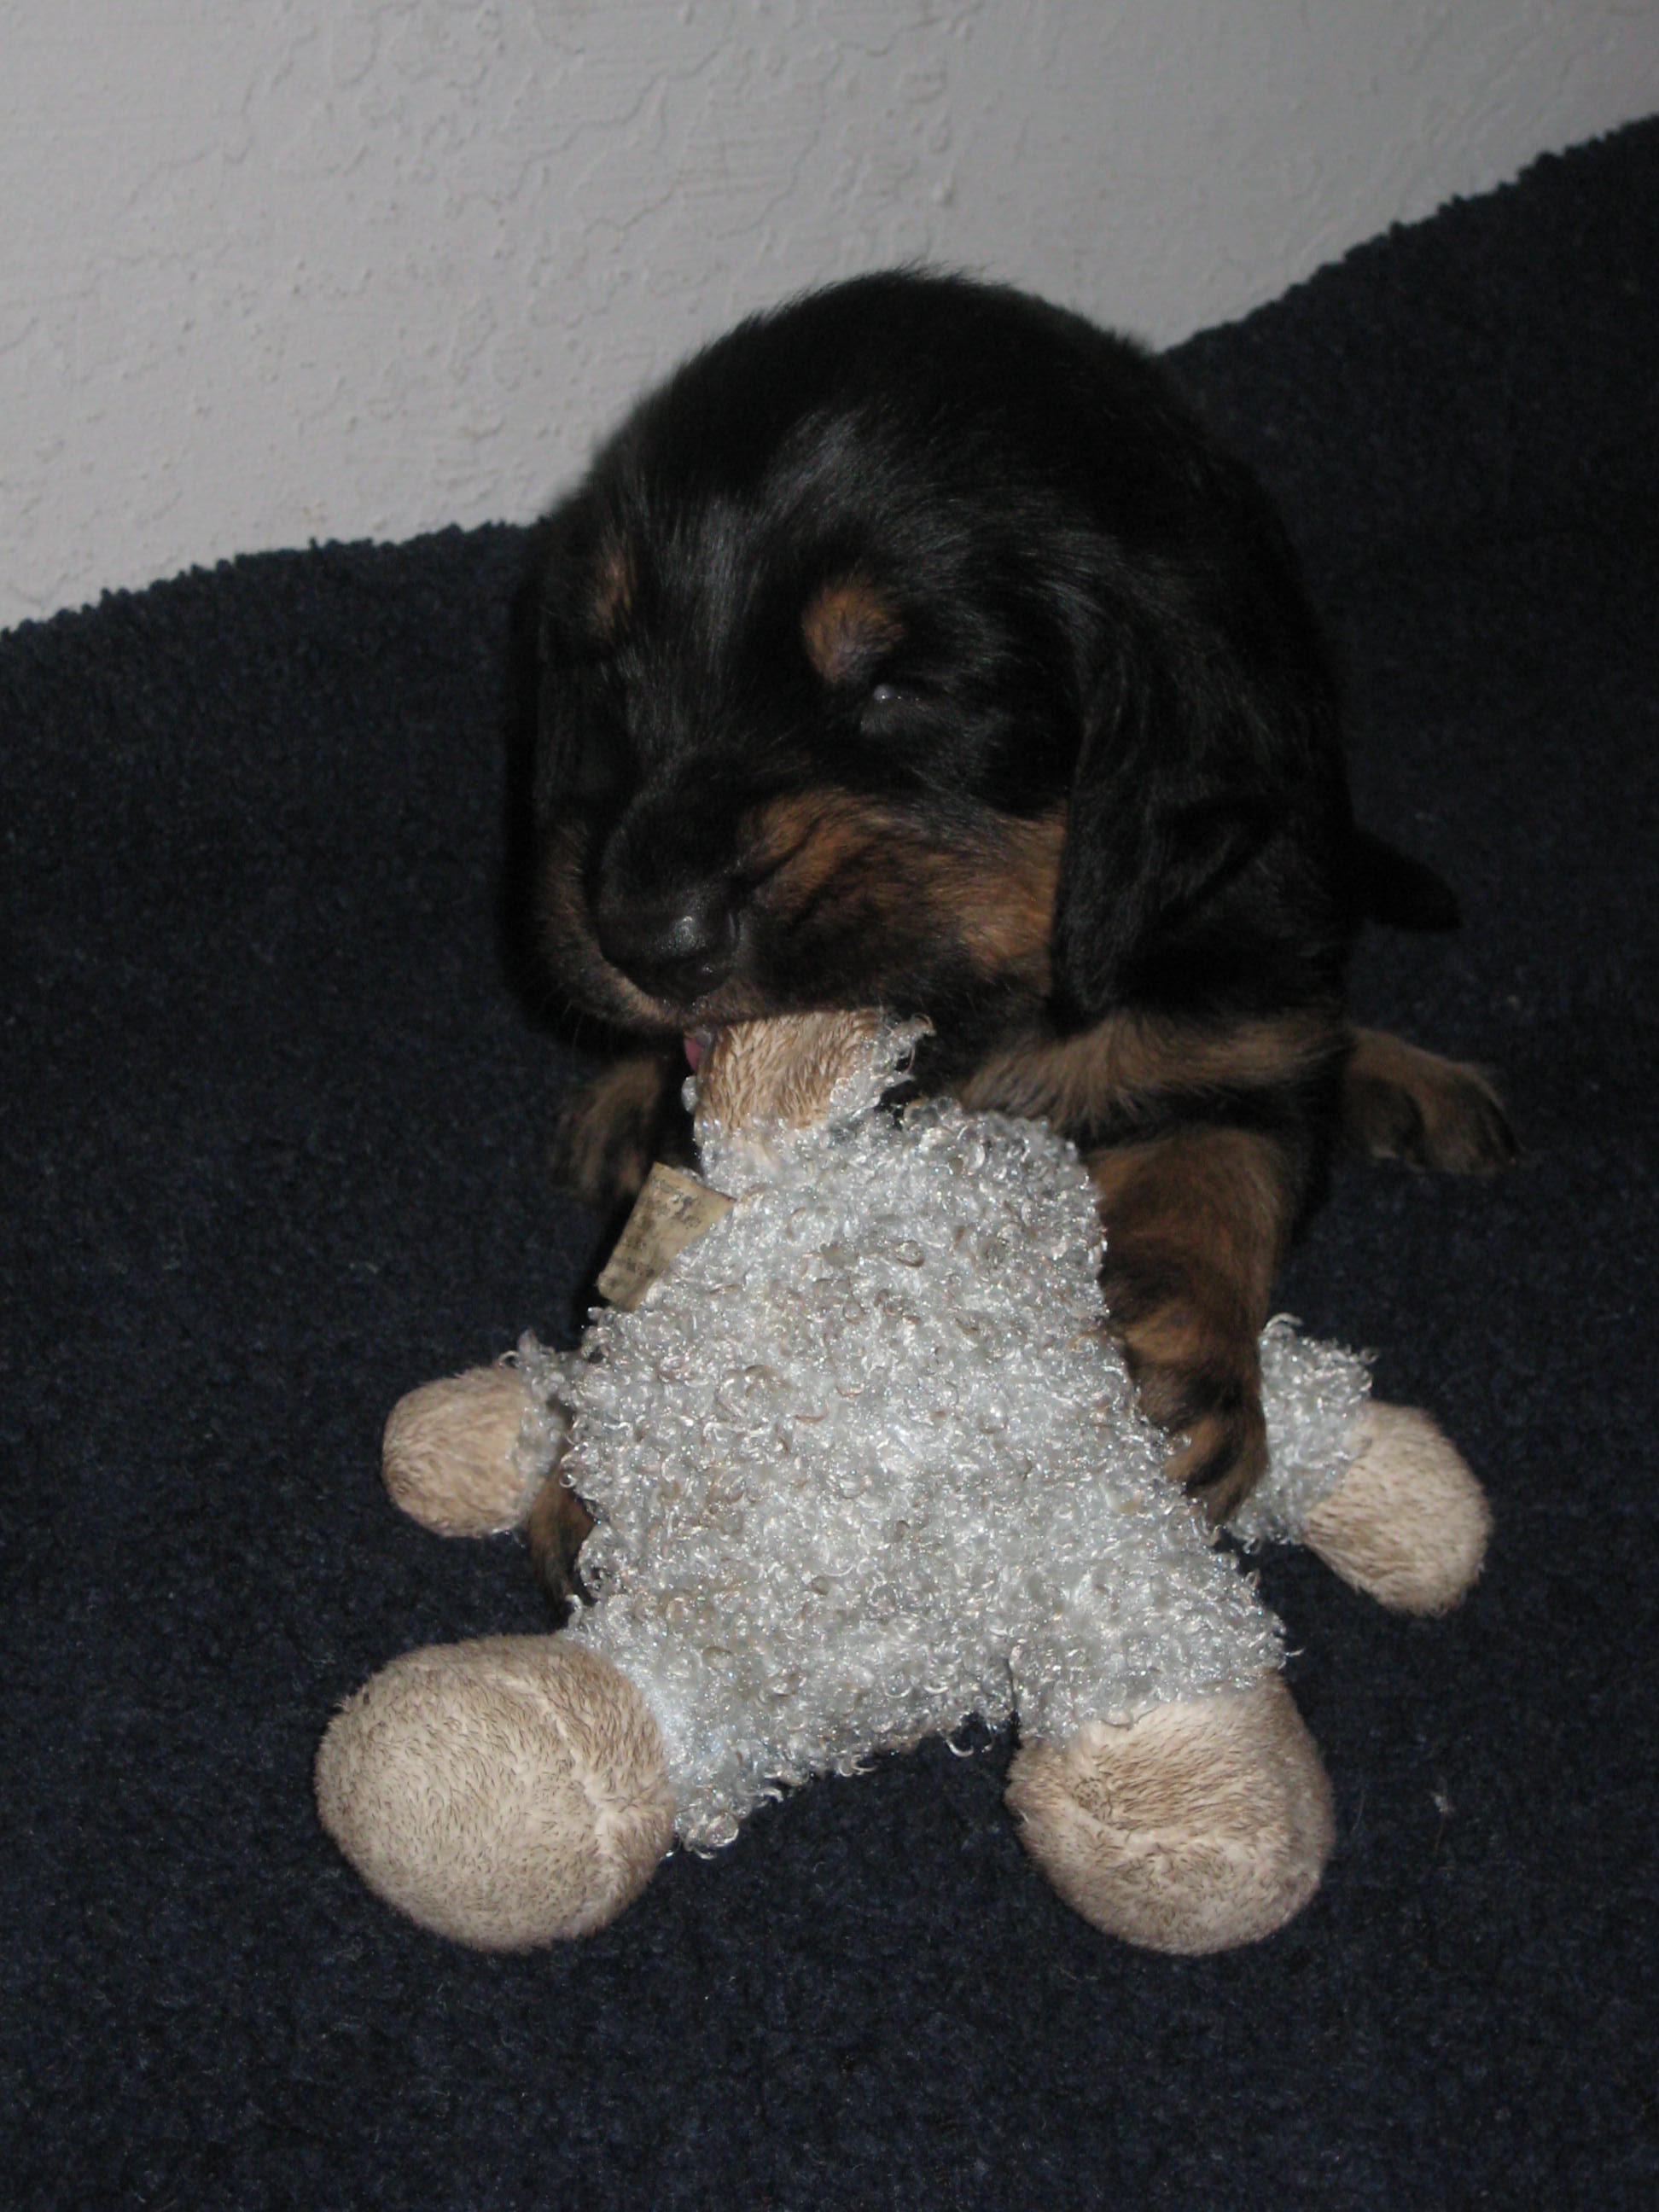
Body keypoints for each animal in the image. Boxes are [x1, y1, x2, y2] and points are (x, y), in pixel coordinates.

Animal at [520, 270, 1514, 1600]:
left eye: (895, 687)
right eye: (613, 675)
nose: (644, 934)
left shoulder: (1248, 998)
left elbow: (1220, 1160)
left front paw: (1174, 1366)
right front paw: (605, 1471)